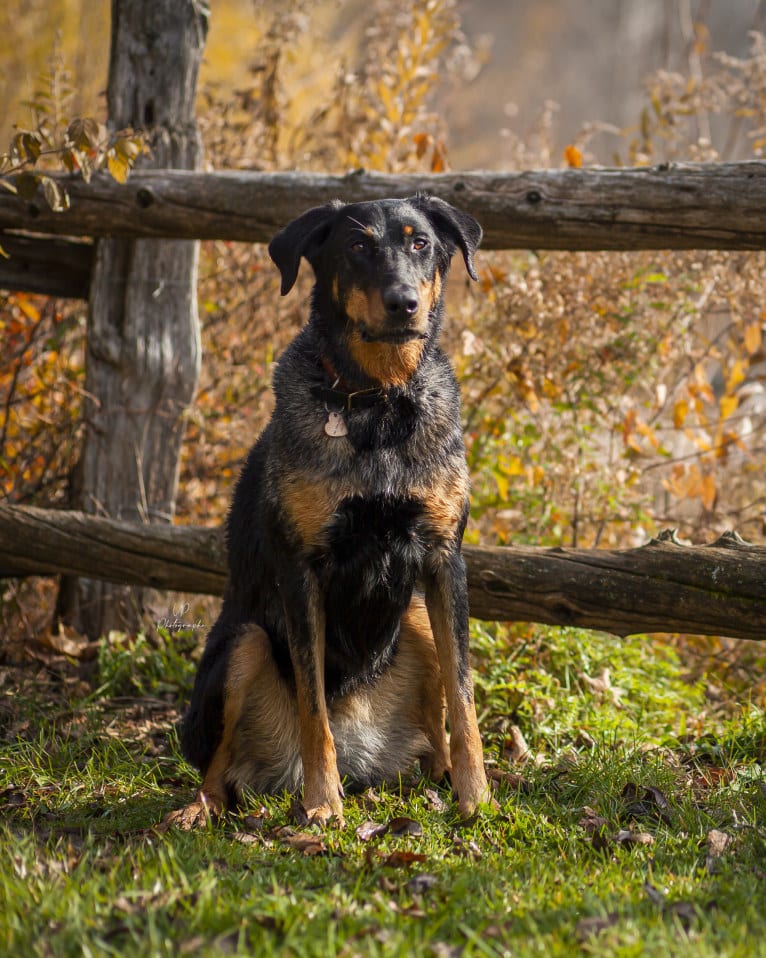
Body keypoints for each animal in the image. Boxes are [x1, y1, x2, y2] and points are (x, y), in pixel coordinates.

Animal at [172, 193, 492, 824]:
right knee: (218, 768)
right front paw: (323, 805)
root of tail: (364, 753)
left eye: (421, 243)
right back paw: (203, 807)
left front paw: (478, 798)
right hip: (243, 643)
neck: (379, 401)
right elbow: (313, 704)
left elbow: (464, 698)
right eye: (358, 245)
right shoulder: (302, 569)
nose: (403, 302)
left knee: (435, 729)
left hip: (418, 621)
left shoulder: (445, 560)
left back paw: (441, 776)